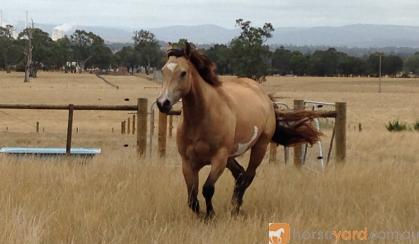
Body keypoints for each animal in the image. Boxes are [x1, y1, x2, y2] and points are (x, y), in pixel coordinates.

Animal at [156, 42, 320, 219]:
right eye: (163, 71)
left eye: (183, 73)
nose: (162, 103)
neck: (201, 119)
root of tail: (265, 97)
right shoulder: (187, 162)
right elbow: (192, 199)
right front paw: (201, 215)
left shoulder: (219, 159)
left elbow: (207, 189)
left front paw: (210, 215)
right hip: (231, 156)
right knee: (240, 174)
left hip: (259, 147)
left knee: (248, 176)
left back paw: (235, 208)